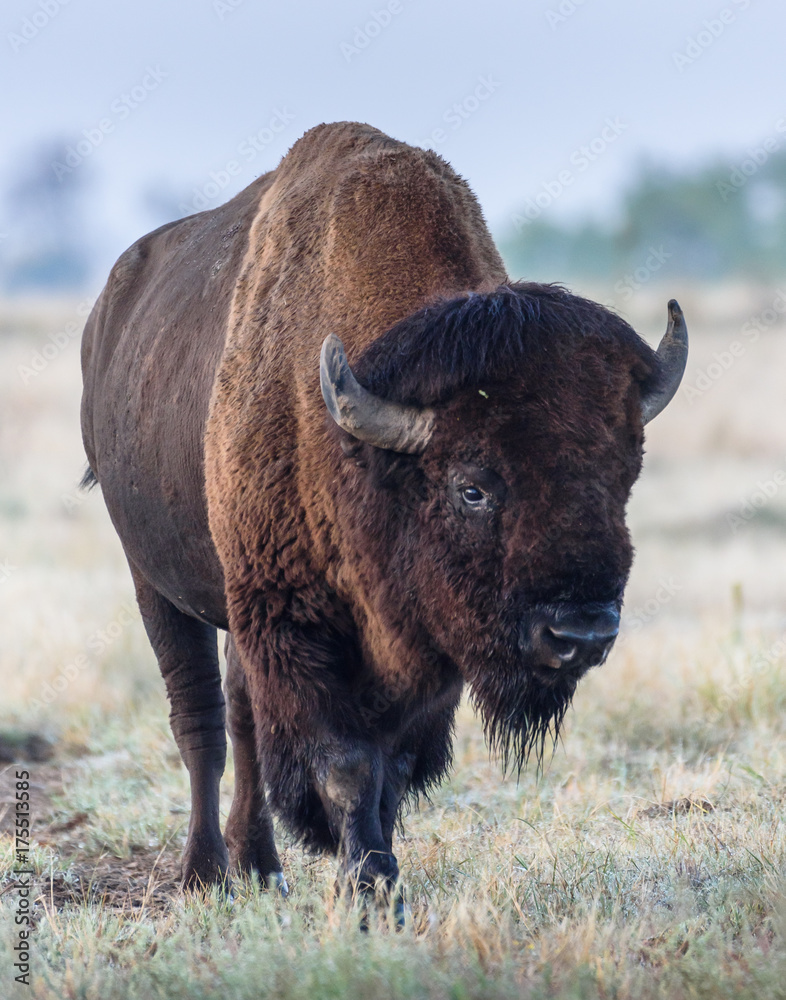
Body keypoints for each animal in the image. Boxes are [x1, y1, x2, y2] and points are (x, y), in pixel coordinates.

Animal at [76, 121, 684, 904]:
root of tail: (106, 314)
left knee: (240, 719)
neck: (365, 455)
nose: (579, 633)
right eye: (471, 487)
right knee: (201, 721)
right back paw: (207, 875)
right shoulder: (294, 624)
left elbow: (388, 770)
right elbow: (343, 763)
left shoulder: (427, 648)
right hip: (153, 578)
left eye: (623, 475)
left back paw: (261, 866)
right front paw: (367, 888)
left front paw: (375, 879)